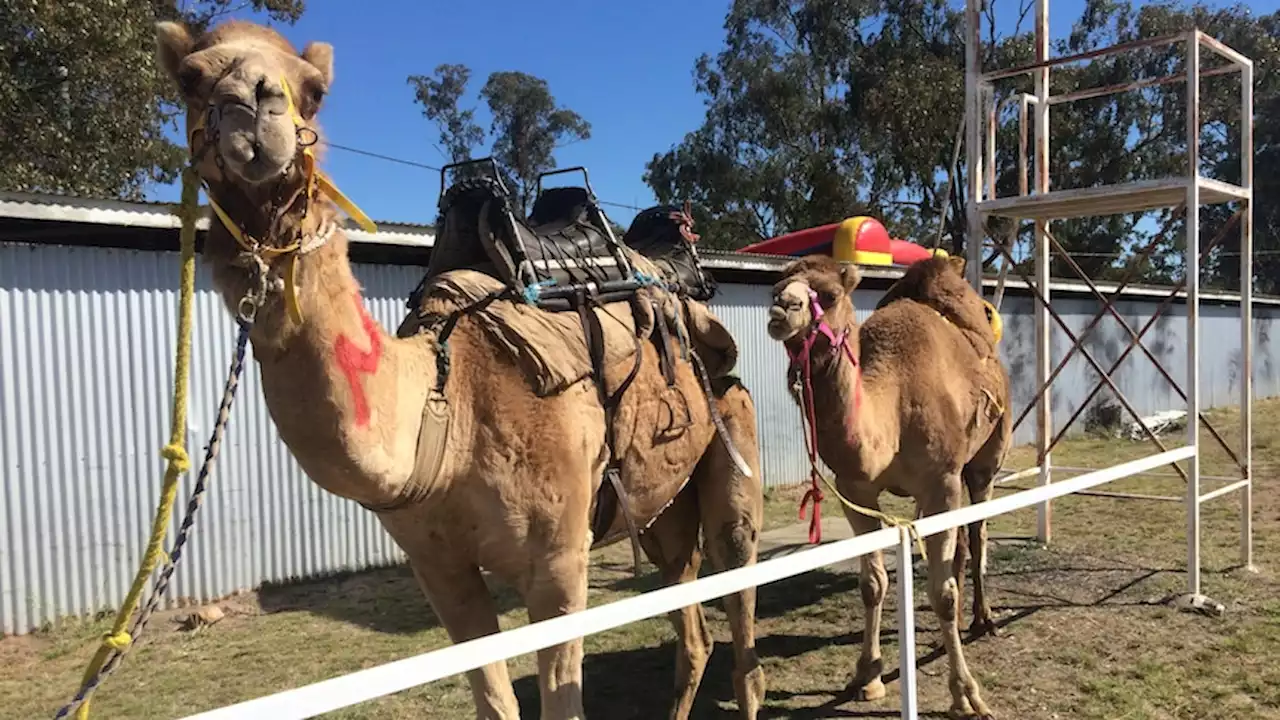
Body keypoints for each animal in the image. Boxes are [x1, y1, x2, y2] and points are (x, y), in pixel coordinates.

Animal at [762, 253, 1013, 717]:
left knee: (978, 533)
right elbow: (872, 584)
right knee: (959, 546)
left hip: (986, 457)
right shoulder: (855, 490)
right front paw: (868, 675)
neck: (892, 407)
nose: (781, 309)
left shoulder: (941, 482)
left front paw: (966, 695)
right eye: (776, 288)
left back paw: (983, 618)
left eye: (829, 295)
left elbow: (943, 593)